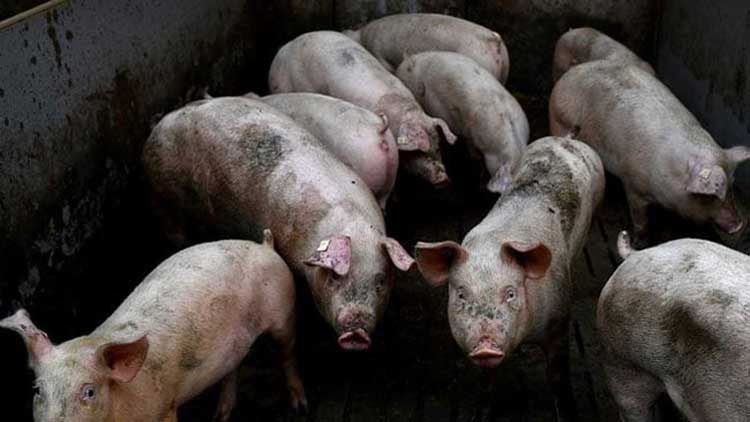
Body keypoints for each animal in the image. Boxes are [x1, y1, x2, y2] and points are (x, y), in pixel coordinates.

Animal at [0, 233, 306, 422]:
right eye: (37, 390)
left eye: (89, 392)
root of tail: (264, 246)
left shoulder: (163, 407)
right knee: (233, 368)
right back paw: (220, 416)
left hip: (284, 310)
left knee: (287, 353)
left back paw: (300, 406)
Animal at [414, 137, 604, 417]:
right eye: (461, 294)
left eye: (511, 293)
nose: (485, 346)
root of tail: (567, 139)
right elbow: (487, 383)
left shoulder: (560, 319)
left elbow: (557, 375)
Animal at [550, 61, 750, 245]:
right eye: (709, 197)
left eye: (732, 185)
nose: (739, 224)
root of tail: (570, 74)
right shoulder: (633, 184)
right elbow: (641, 221)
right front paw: (640, 242)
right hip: (560, 122)